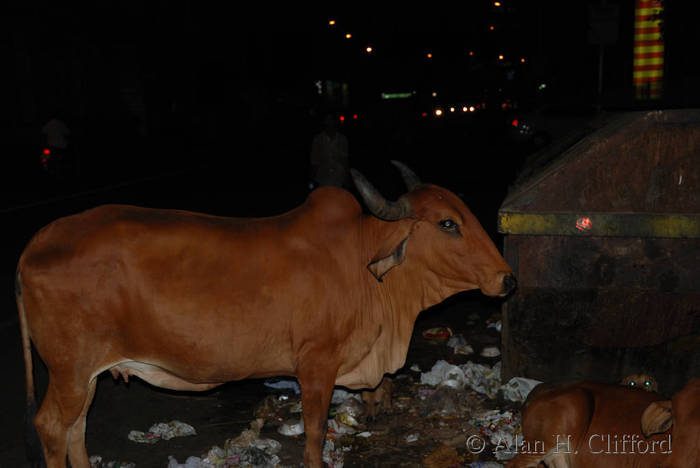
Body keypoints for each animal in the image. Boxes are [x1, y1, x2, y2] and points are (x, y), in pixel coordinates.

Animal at [17, 161, 515, 467]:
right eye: (447, 223)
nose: (507, 279)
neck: (363, 263)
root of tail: (36, 244)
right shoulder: (316, 364)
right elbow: (314, 434)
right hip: (69, 370)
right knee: (50, 426)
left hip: (86, 374)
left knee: (76, 427)